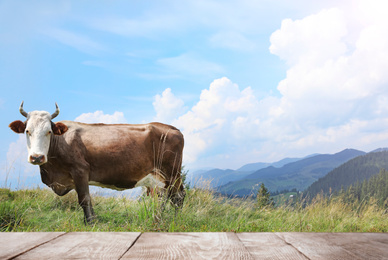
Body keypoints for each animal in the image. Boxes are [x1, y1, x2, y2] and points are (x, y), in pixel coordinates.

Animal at [8, 101, 185, 223]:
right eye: (27, 131)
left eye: (49, 131)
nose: (37, 157)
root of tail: (173, 128)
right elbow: (87, 199)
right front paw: (92, 219)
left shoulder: (80, 170)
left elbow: (84, 199)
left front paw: (90, 222)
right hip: (160, 178)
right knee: (165, 197)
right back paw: (158, 218)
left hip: (172, 173)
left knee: (178, 197)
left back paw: (175, 220)